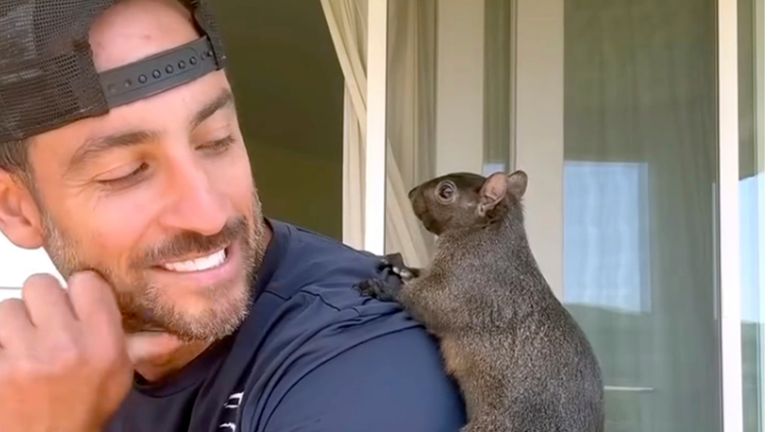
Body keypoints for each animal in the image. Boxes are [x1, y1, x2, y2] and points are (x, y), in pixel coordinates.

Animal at [358, 170, 608, 430]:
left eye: (445, 192)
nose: (411, 192)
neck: (484, 235)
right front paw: (401, 266)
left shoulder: (465, 286)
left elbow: (427, 301)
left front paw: (384, 288)